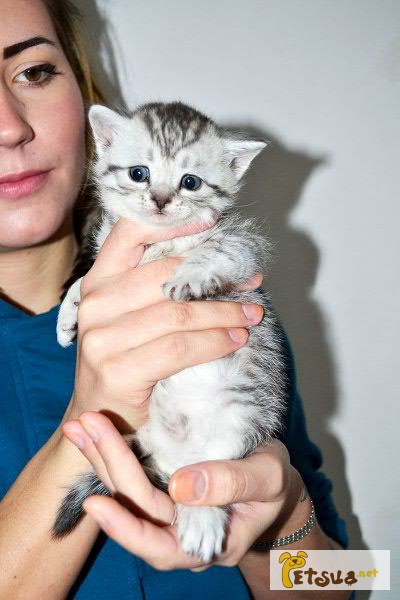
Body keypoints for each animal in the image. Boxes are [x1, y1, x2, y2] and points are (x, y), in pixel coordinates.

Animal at [54, 99, 290, 564]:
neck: (159, 241)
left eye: (190, 182)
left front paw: (190, 275)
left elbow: (220, 250)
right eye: (139, 172)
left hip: (244, 417)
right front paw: (69, 312)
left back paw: (203, 519)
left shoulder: (243, 243)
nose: (162, 200)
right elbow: (86, 281)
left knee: (209, 472)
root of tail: (177, 453)